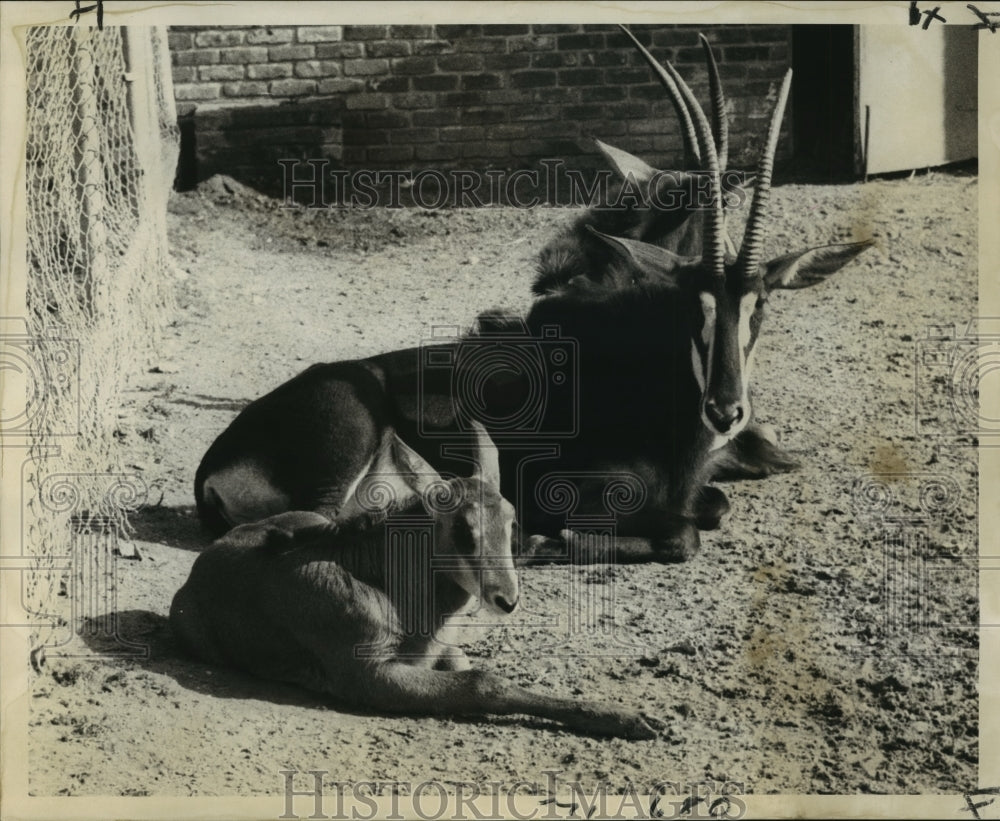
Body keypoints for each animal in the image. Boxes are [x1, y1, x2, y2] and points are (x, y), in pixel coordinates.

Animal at [193, 43, 868, 564]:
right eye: (690, 308)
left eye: (761, 307)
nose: (727, 412)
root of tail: (214, 466)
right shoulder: (571, 486)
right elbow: (683, 533)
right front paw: (550, 539)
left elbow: (710, 509)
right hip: (347, 447)